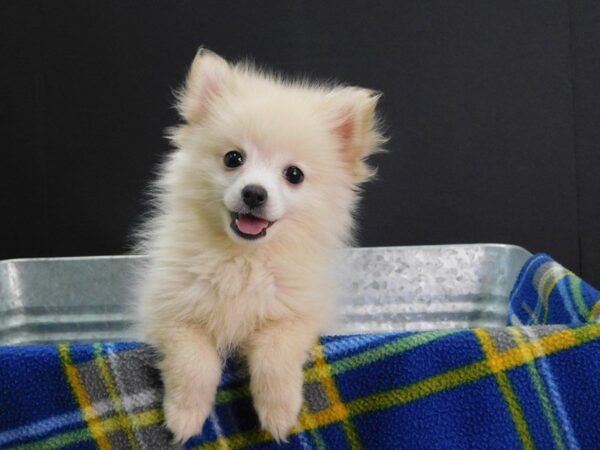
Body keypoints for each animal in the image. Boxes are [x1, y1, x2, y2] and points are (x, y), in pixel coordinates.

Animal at [136, 48, 384, 442]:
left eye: (294, 175)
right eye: (233, 158)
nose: (254, 192)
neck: (244, 260)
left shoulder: (297, 315)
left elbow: (274, 357)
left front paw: (279, 414)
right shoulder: (171, 313)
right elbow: (193, 363)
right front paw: (185, 416)